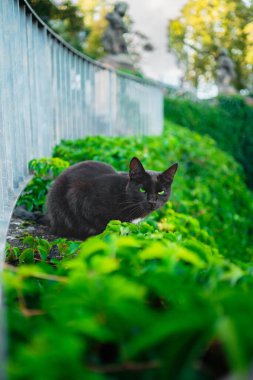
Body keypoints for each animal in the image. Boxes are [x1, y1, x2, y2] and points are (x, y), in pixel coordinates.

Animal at [47, 159, 178, 239]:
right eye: (142, 190)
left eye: (161, 192)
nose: (152, 201)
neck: (123, 196)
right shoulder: (80, 197)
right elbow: (103, 226)